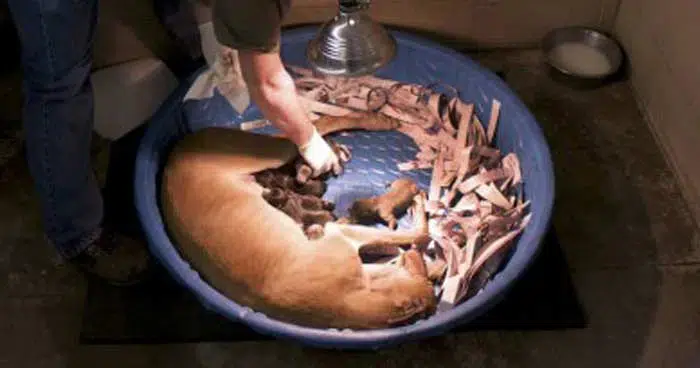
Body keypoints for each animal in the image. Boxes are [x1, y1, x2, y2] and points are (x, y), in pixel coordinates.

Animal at [161, 113, 440, 330]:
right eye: (422, 276)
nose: (414, 256)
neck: (346, 303)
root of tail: (177, 148)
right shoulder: (343, 233)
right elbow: (418, 234)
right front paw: (418, 205)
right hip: (272, 149)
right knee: (320, 123)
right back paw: (377, 119)